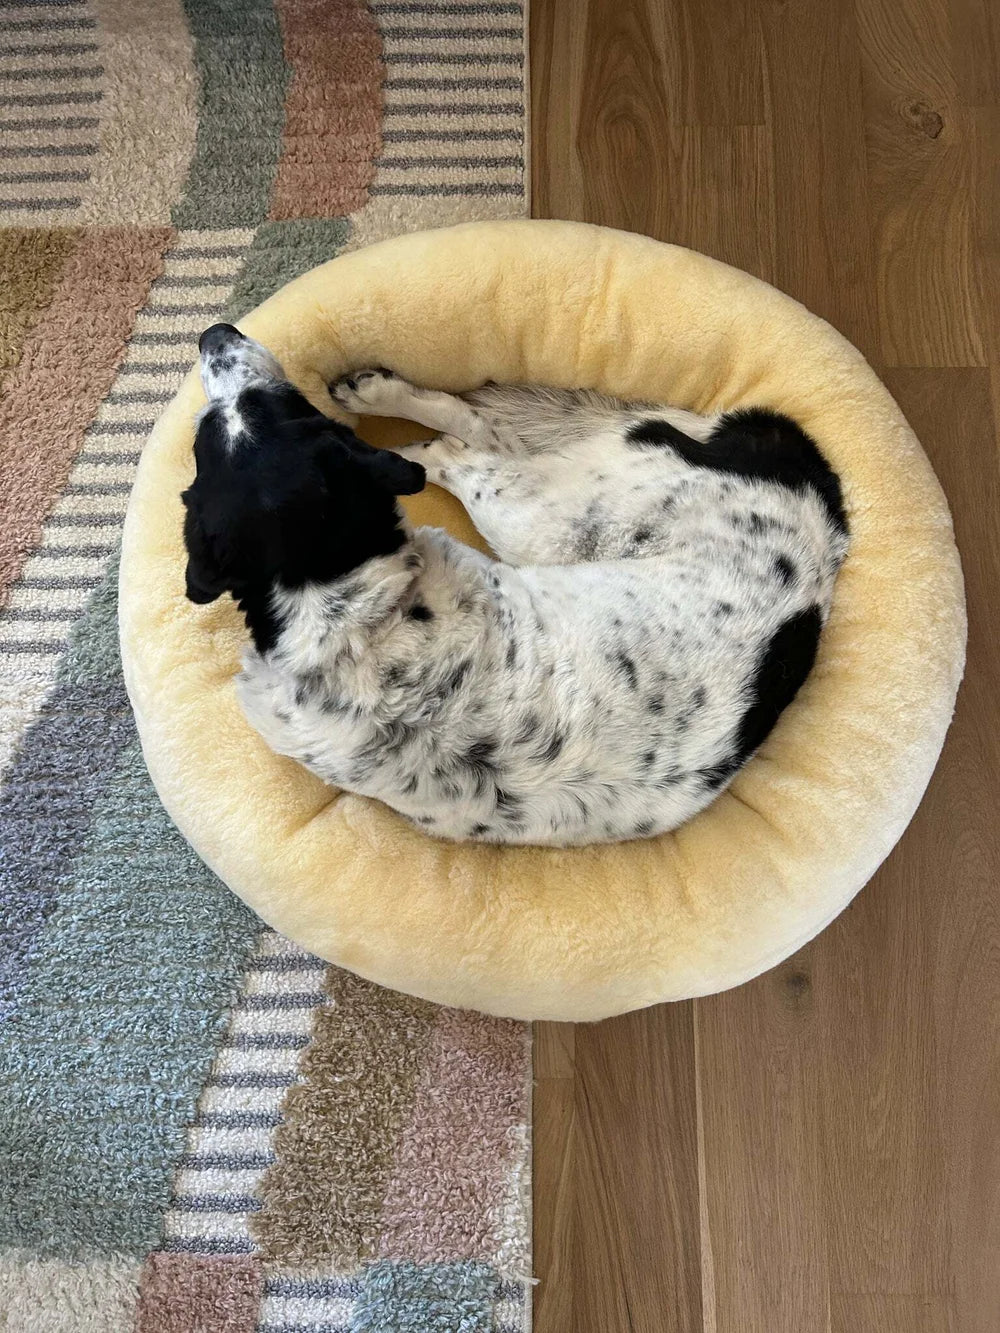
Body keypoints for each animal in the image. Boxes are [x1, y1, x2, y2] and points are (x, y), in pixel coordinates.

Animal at [182, 321, 853, 842]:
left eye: (264, 409)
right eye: (210, 437)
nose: (215, 332)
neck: (348, 615)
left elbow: (450, 451)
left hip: (541, 518)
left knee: (469, 440)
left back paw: (381, 396)